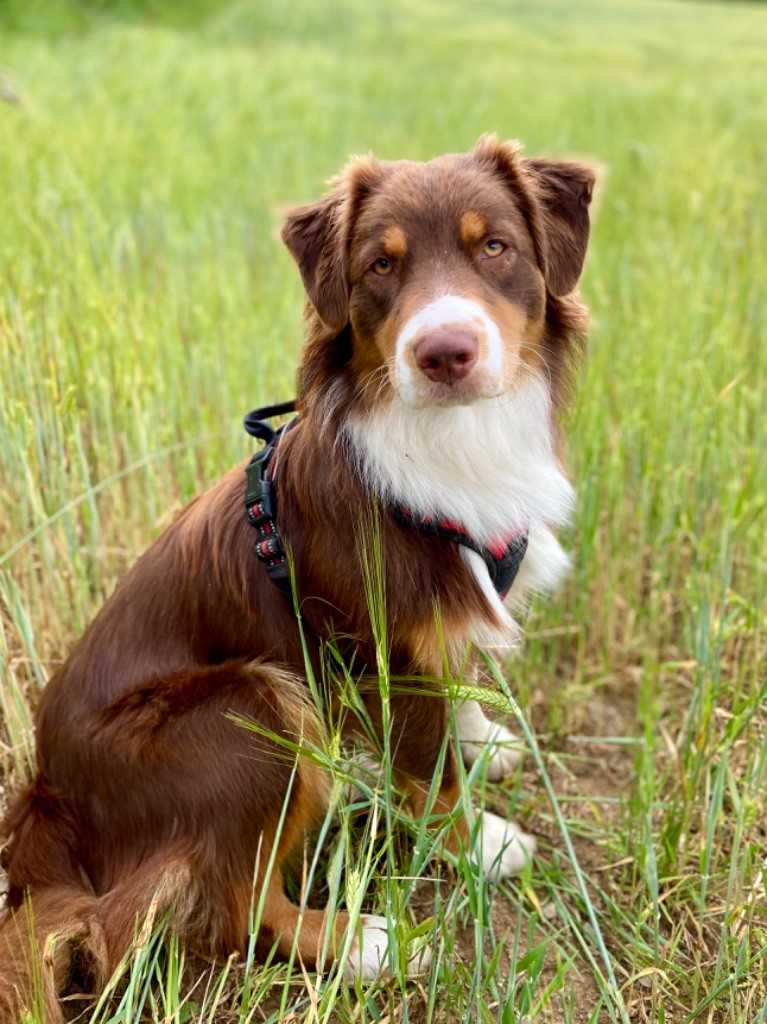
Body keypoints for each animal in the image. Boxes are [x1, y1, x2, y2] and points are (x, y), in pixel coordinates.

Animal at [0, 136, 593, 1015]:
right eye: (379, 266)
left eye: (495, 247)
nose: (443, 354)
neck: (444, 442)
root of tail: (49, 793)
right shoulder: (378, 654)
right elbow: (431, 774)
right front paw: (484, 845)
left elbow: (454, 701)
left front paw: (480, 738)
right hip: (251, 707)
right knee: (229, 914)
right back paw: (369, 944)